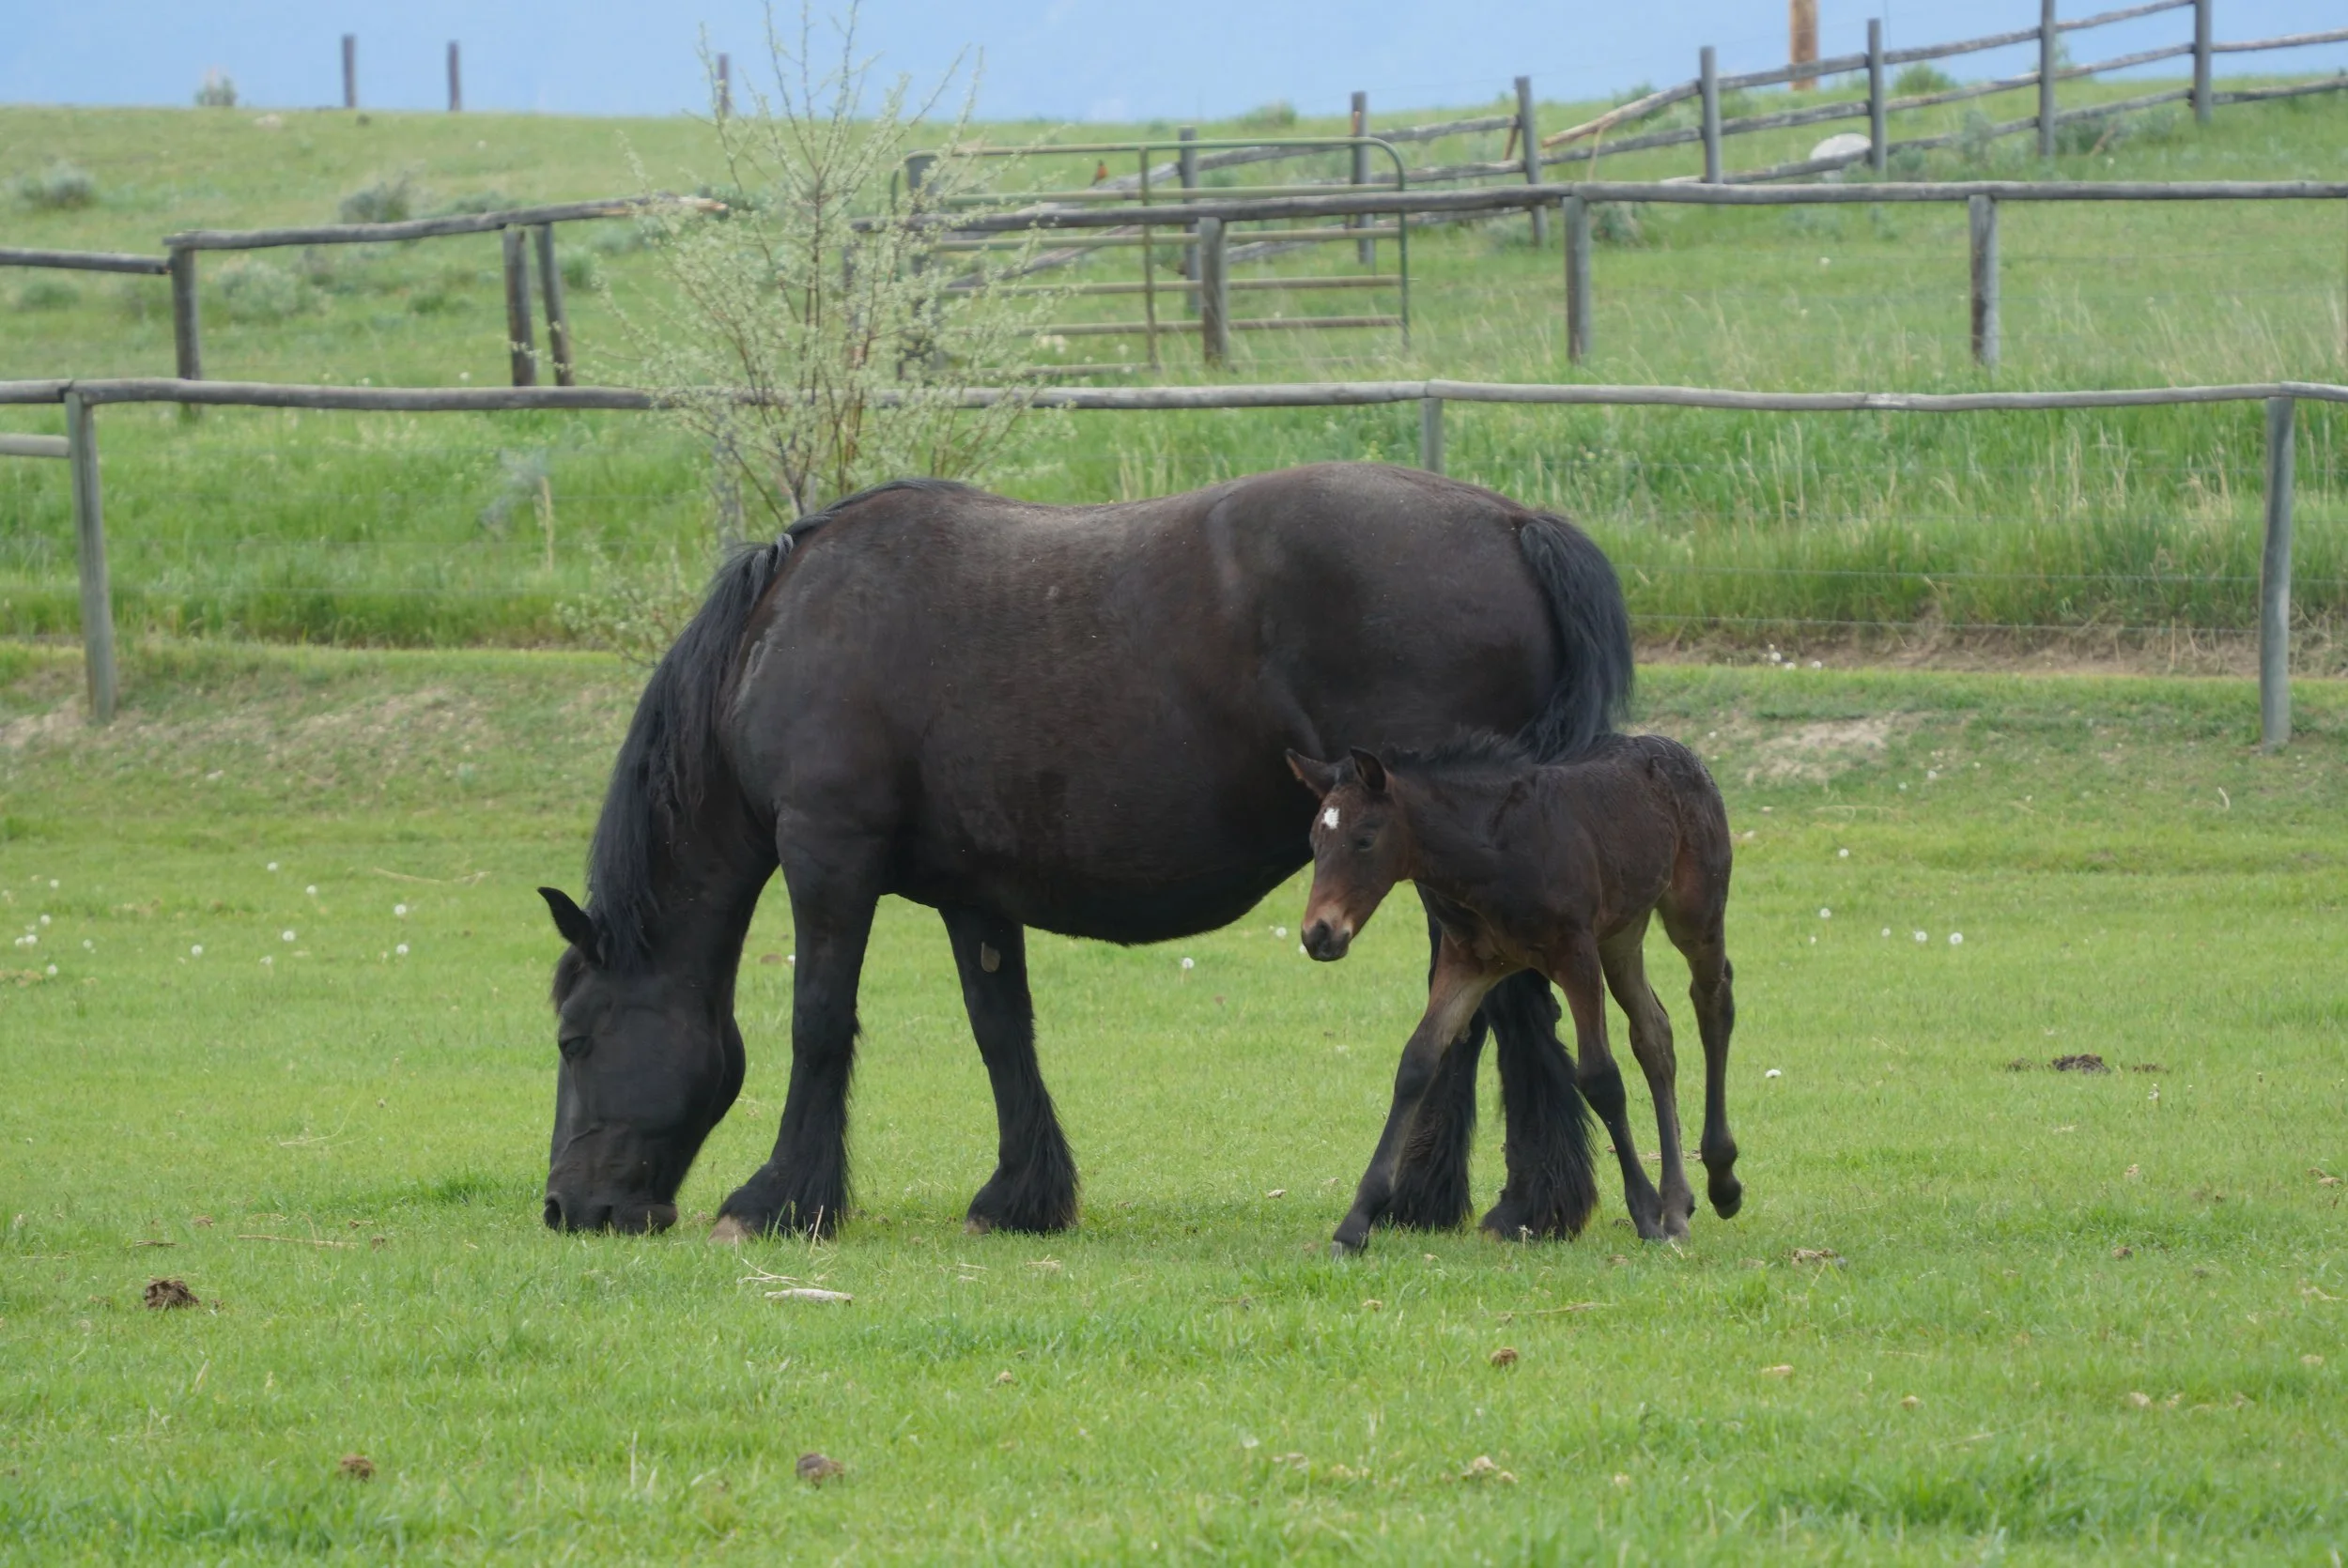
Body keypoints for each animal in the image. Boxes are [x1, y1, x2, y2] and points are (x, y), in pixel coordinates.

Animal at [535, 462, 1635, 1243]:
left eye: (573, 1040)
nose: (567, 1208)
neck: (786, 628)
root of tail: (1513, 525)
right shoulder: (971, 892)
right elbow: (1000, 1030)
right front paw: (1021, 1194)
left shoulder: (827, 853)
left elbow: (819, 1023)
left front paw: (780, 1199)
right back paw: (1429, 1198)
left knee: (1512, 1006)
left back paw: (1528, 1206)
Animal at [1286, 732, 1740, 1254]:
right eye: (1314, 843)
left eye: (1364, 839)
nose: (1319, 934)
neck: (1495, 851)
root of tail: (1680, 752)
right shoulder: (1468, 963)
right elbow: (1417, 1064)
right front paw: (1355, 1222)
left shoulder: (1576, 954)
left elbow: (1601, 1078)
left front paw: (1645, 1215)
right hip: (1622, 934)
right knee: (1654, 1033)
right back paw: (1678, 1205)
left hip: (1695, 910)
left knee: (1713, 1000)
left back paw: (1722, 1181)